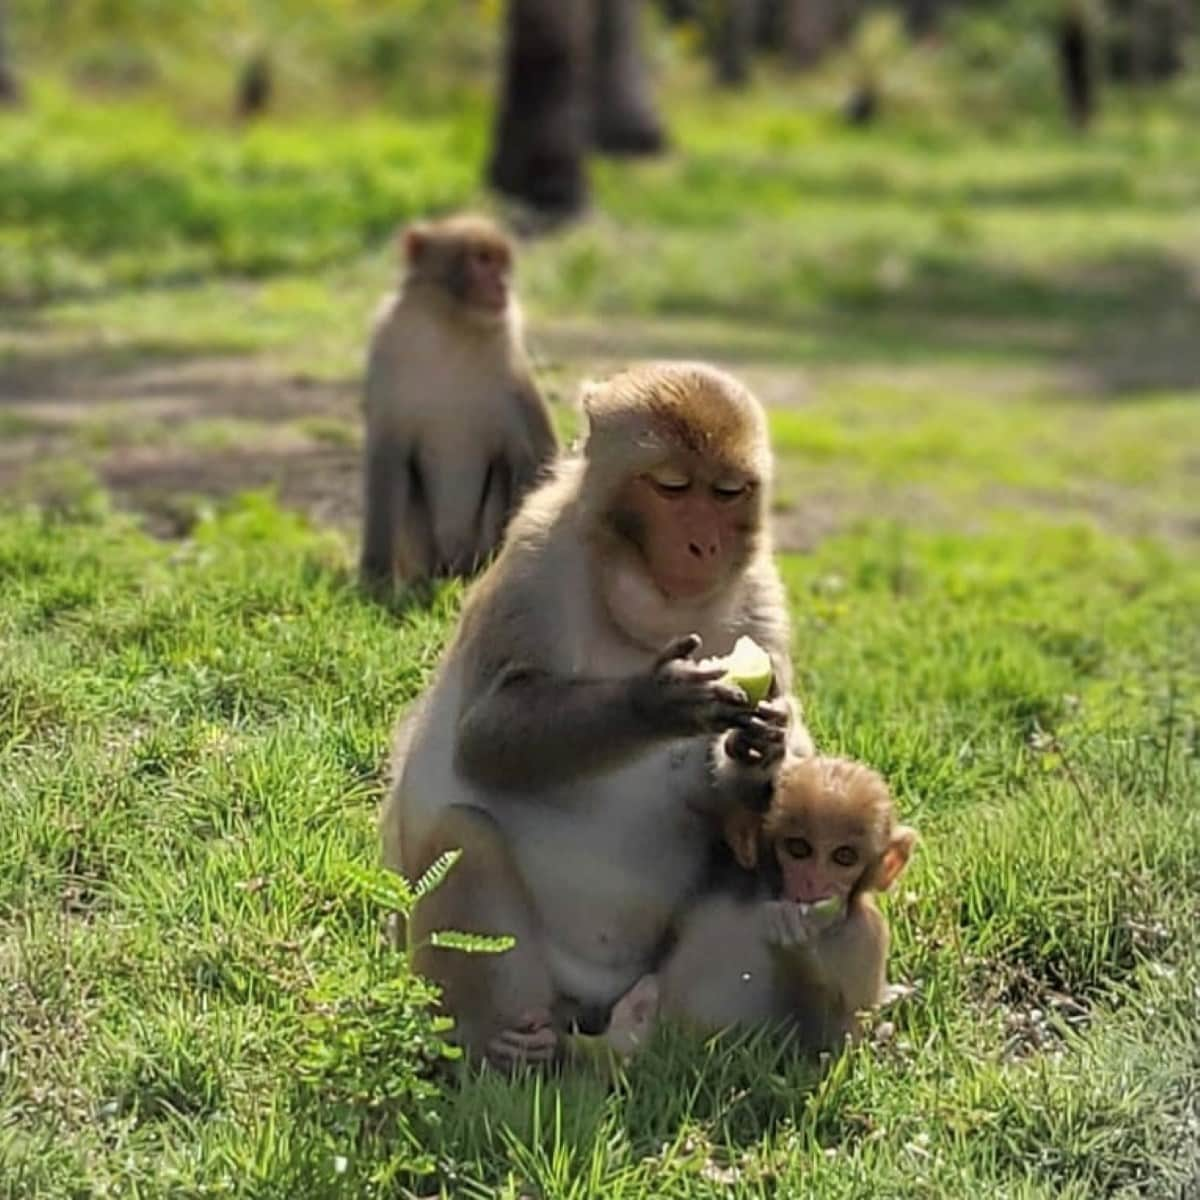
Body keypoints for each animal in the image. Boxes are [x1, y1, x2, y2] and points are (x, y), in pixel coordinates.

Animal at [357, 218, 559, 592]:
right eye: (482, 259)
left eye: (502, 262)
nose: (503, 285)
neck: (452, 327)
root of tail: (453, 567)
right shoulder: (387, 347)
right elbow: (387, 455)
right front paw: (374, 578)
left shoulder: (510, 364)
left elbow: (534, 454)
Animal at [381, 360, 816, 1065]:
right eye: (672, 486)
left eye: (727, 492)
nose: (703, 545)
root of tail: (591, 1006)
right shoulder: (533, 561)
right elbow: (485, 736)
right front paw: (656, 701)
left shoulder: (761, 596)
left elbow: (747, 800)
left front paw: (761, 749)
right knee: (462, 833)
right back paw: (496, 1047)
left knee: (756, 860)